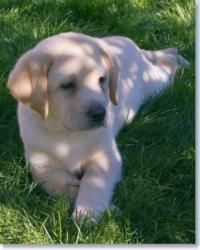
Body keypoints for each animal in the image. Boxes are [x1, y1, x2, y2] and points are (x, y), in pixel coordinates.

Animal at [7, 31, 188, 221]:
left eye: (102, 80)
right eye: (67, 85)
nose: (100, 113)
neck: (67, 134)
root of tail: (127, 41)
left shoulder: (105, 157)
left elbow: (92, 182)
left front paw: (88, 212)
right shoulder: (43, 167)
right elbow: (68, 186)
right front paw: (108, 209)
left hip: (155, 84)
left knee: (166, 64)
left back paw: (178, 57)